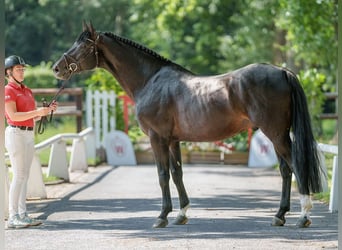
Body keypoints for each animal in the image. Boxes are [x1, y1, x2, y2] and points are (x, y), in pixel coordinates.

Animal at [52, 22, 322, 229]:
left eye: (84, 45)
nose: (56, 68)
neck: (150, 80)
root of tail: (282, 71)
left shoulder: (157, 138)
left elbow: (162, 175)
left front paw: (162, 216)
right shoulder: (173, 140)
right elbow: (177, 173)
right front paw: (181, 214)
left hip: (275, 133)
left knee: (296, 166)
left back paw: (304, 216)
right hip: (277, 135)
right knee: (286, 170)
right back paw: (279, 216)